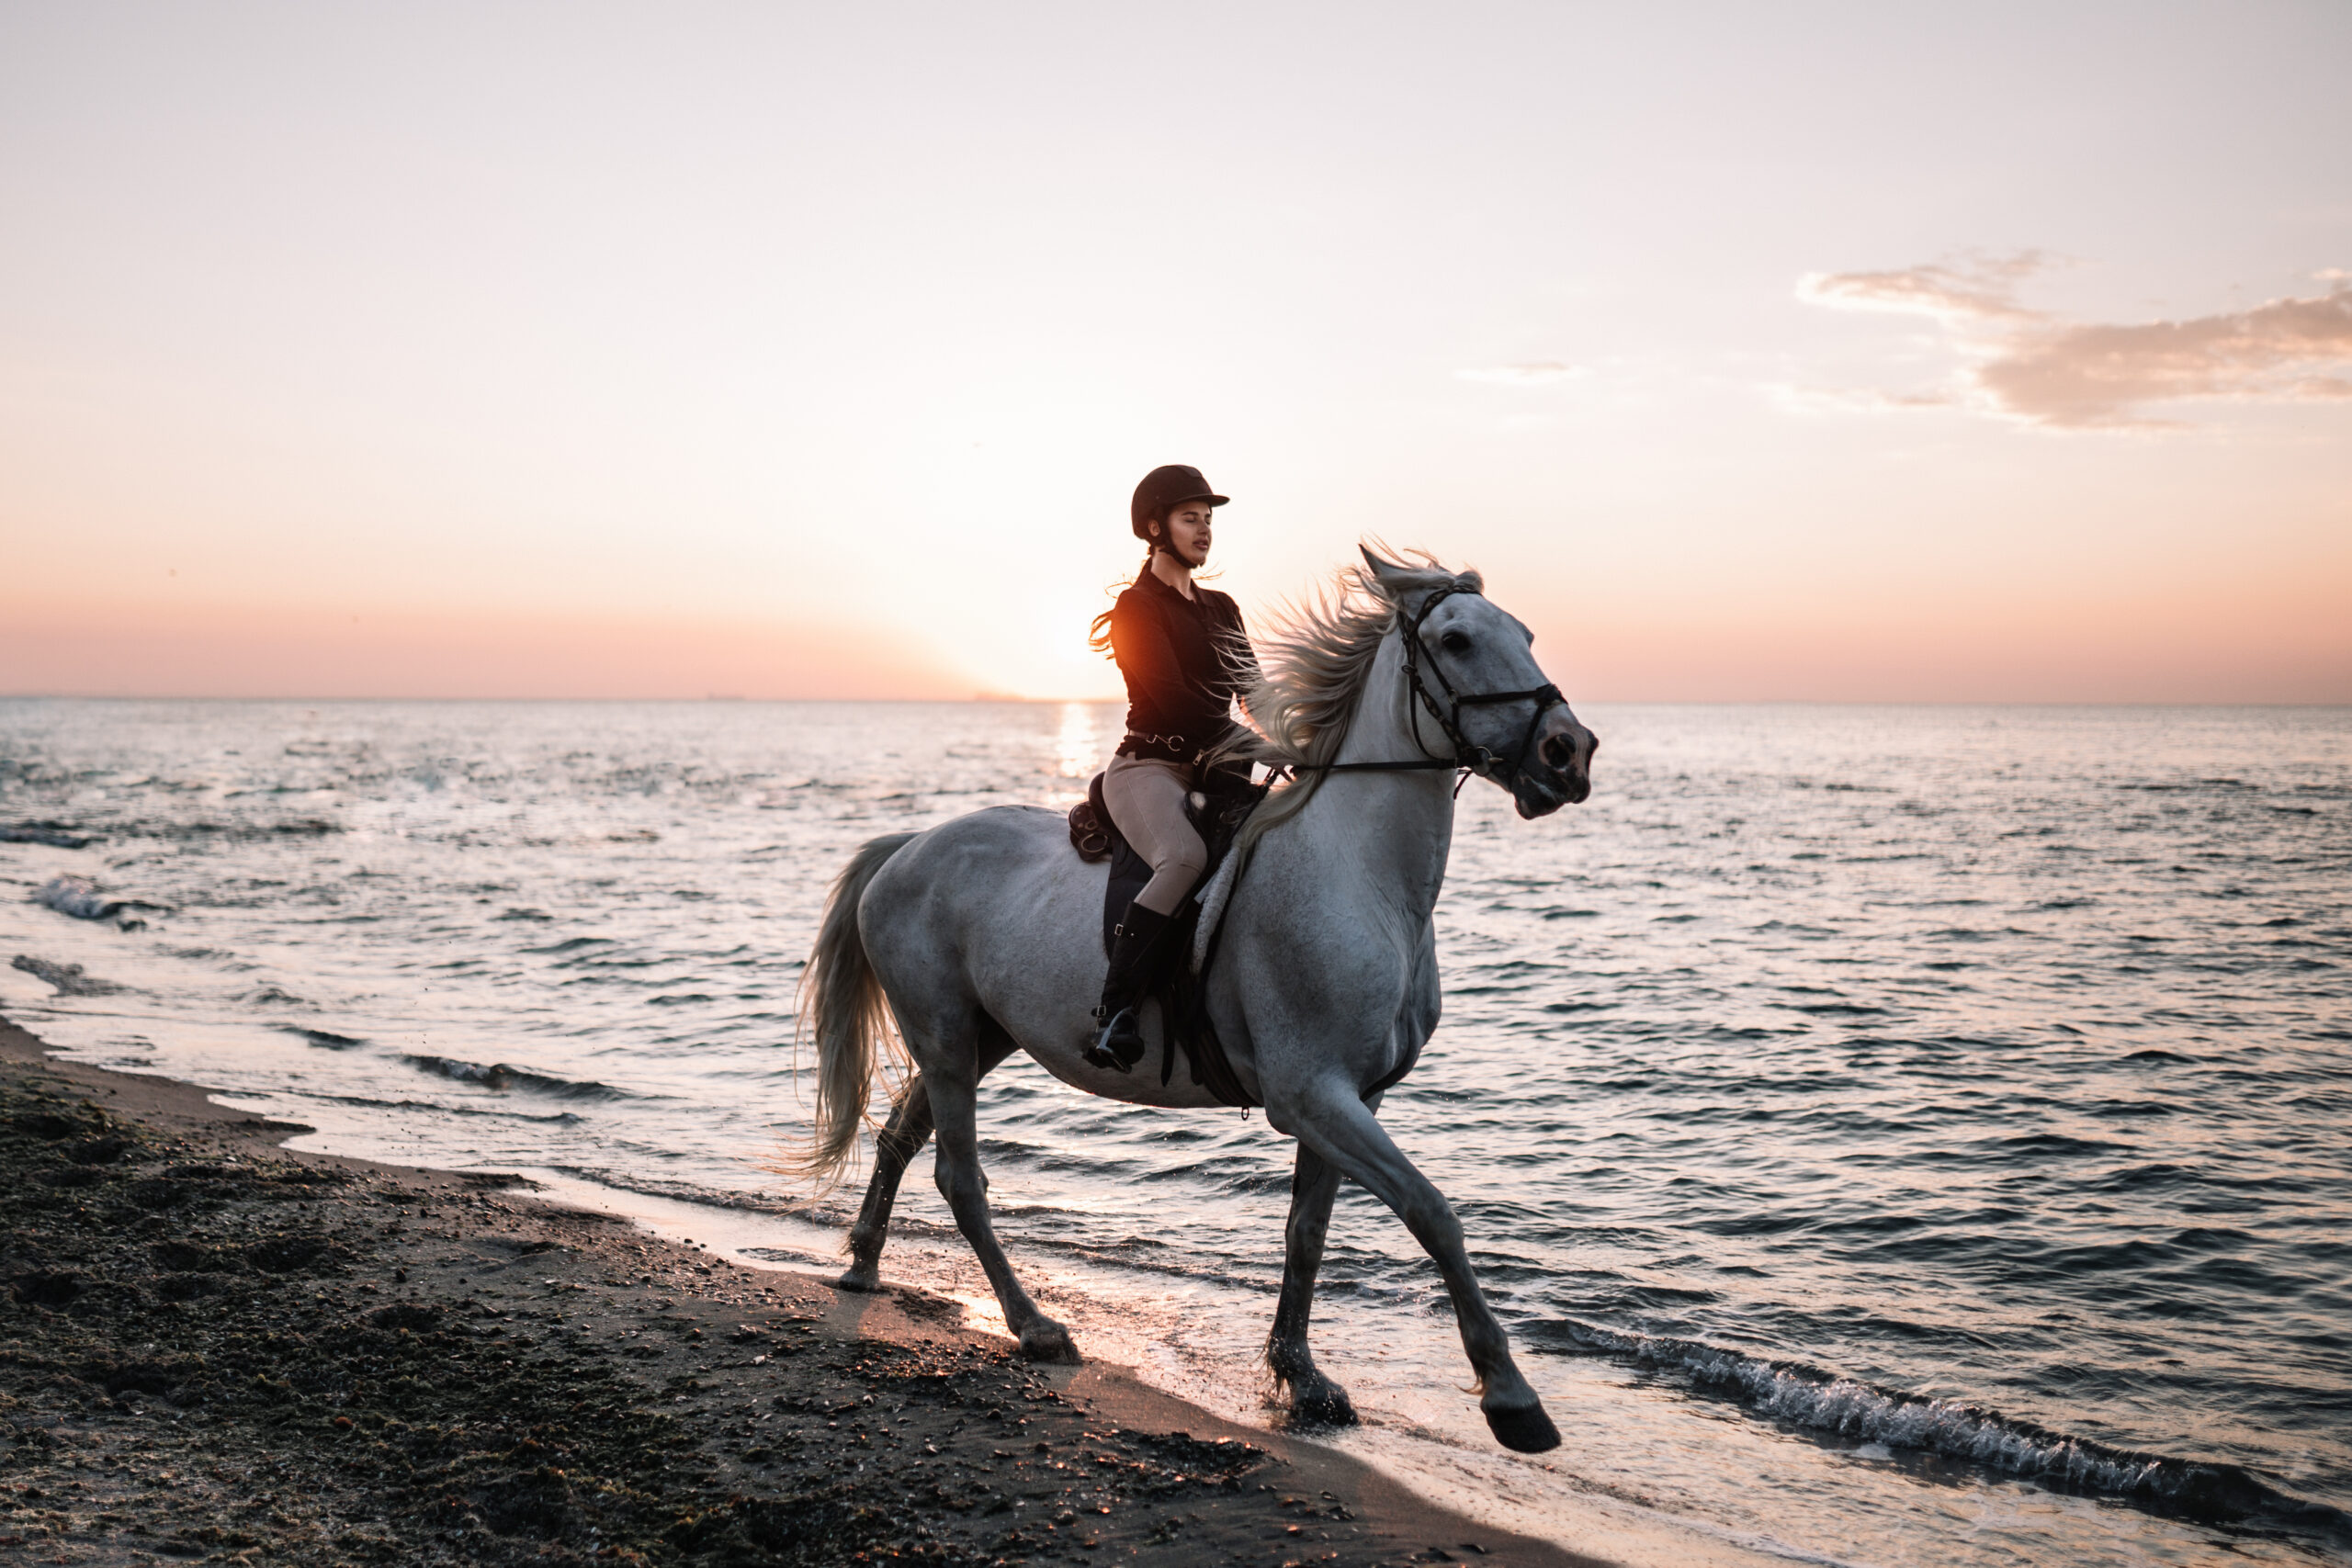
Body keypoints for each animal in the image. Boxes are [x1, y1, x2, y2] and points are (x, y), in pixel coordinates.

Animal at [796, 547, 1598, 1453]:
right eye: (1457, 639)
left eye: (1525, 633)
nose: (1570, 752)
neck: (1361, 873)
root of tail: (909, 847)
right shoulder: (1310, 1094)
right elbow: (1433, 1213)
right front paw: (1511, 1396)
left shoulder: (1349, 1098)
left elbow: (1307, 1233)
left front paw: (1303, 1377)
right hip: (941, 1034)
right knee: (959, 1176)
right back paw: (1034, 1324)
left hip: (976, 1037)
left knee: (901, 1137)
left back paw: (863, 1263)